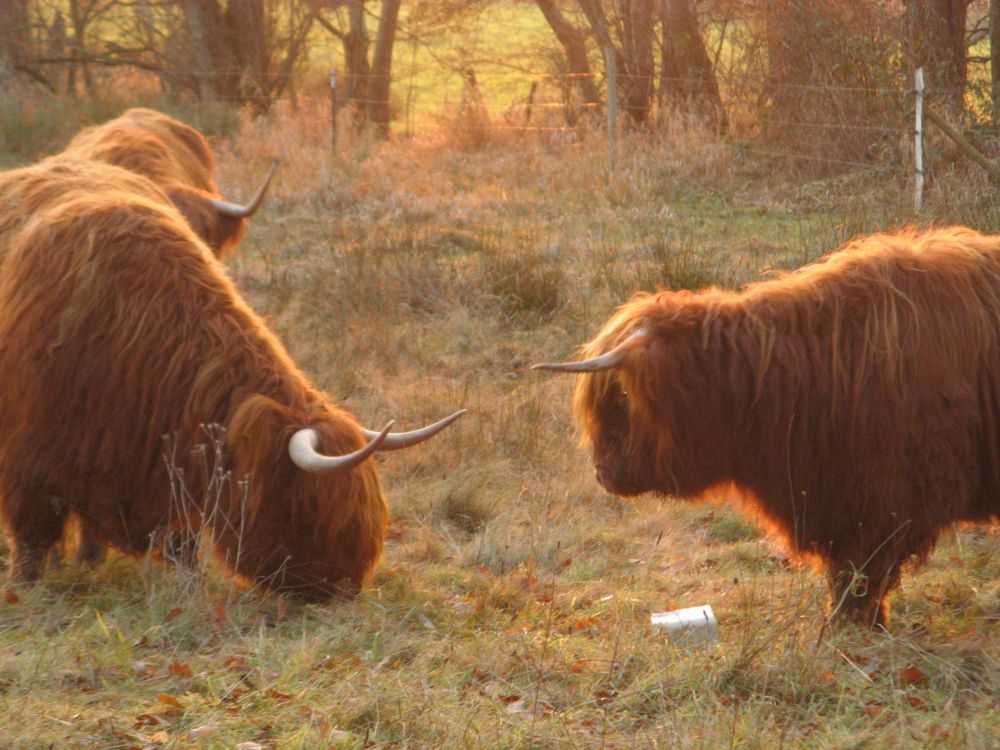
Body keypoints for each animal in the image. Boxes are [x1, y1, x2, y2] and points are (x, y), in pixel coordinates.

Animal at [0, 170, 464, 600]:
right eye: (309, 509)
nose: (346, 586)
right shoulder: (28, 458)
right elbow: (31, 535)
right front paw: (24, 587)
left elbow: (179, 539)